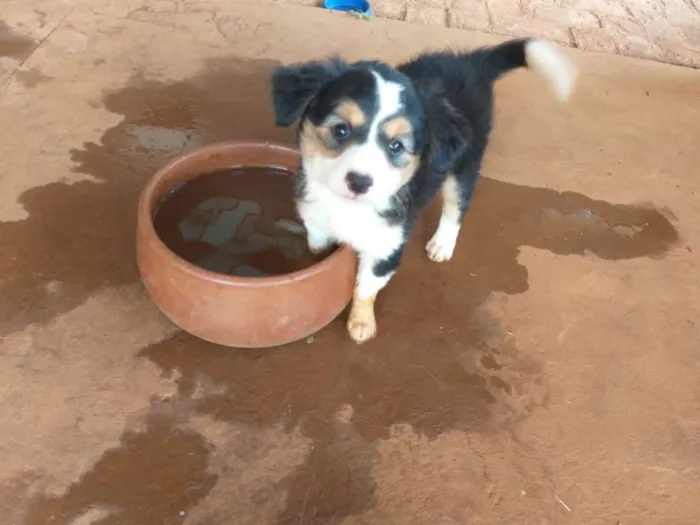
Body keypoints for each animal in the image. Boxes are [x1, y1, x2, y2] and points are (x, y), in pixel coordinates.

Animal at [270, 37, 576, 344]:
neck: (348, 207)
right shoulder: (316, 223)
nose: (360, 182)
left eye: (396, 146)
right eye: (341, 130)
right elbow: (318, 250)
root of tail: (472, 62)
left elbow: (366, 287)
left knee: (456, 206)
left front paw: (361, 325)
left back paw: (442, 243)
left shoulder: (387, 245)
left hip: (464, 165)